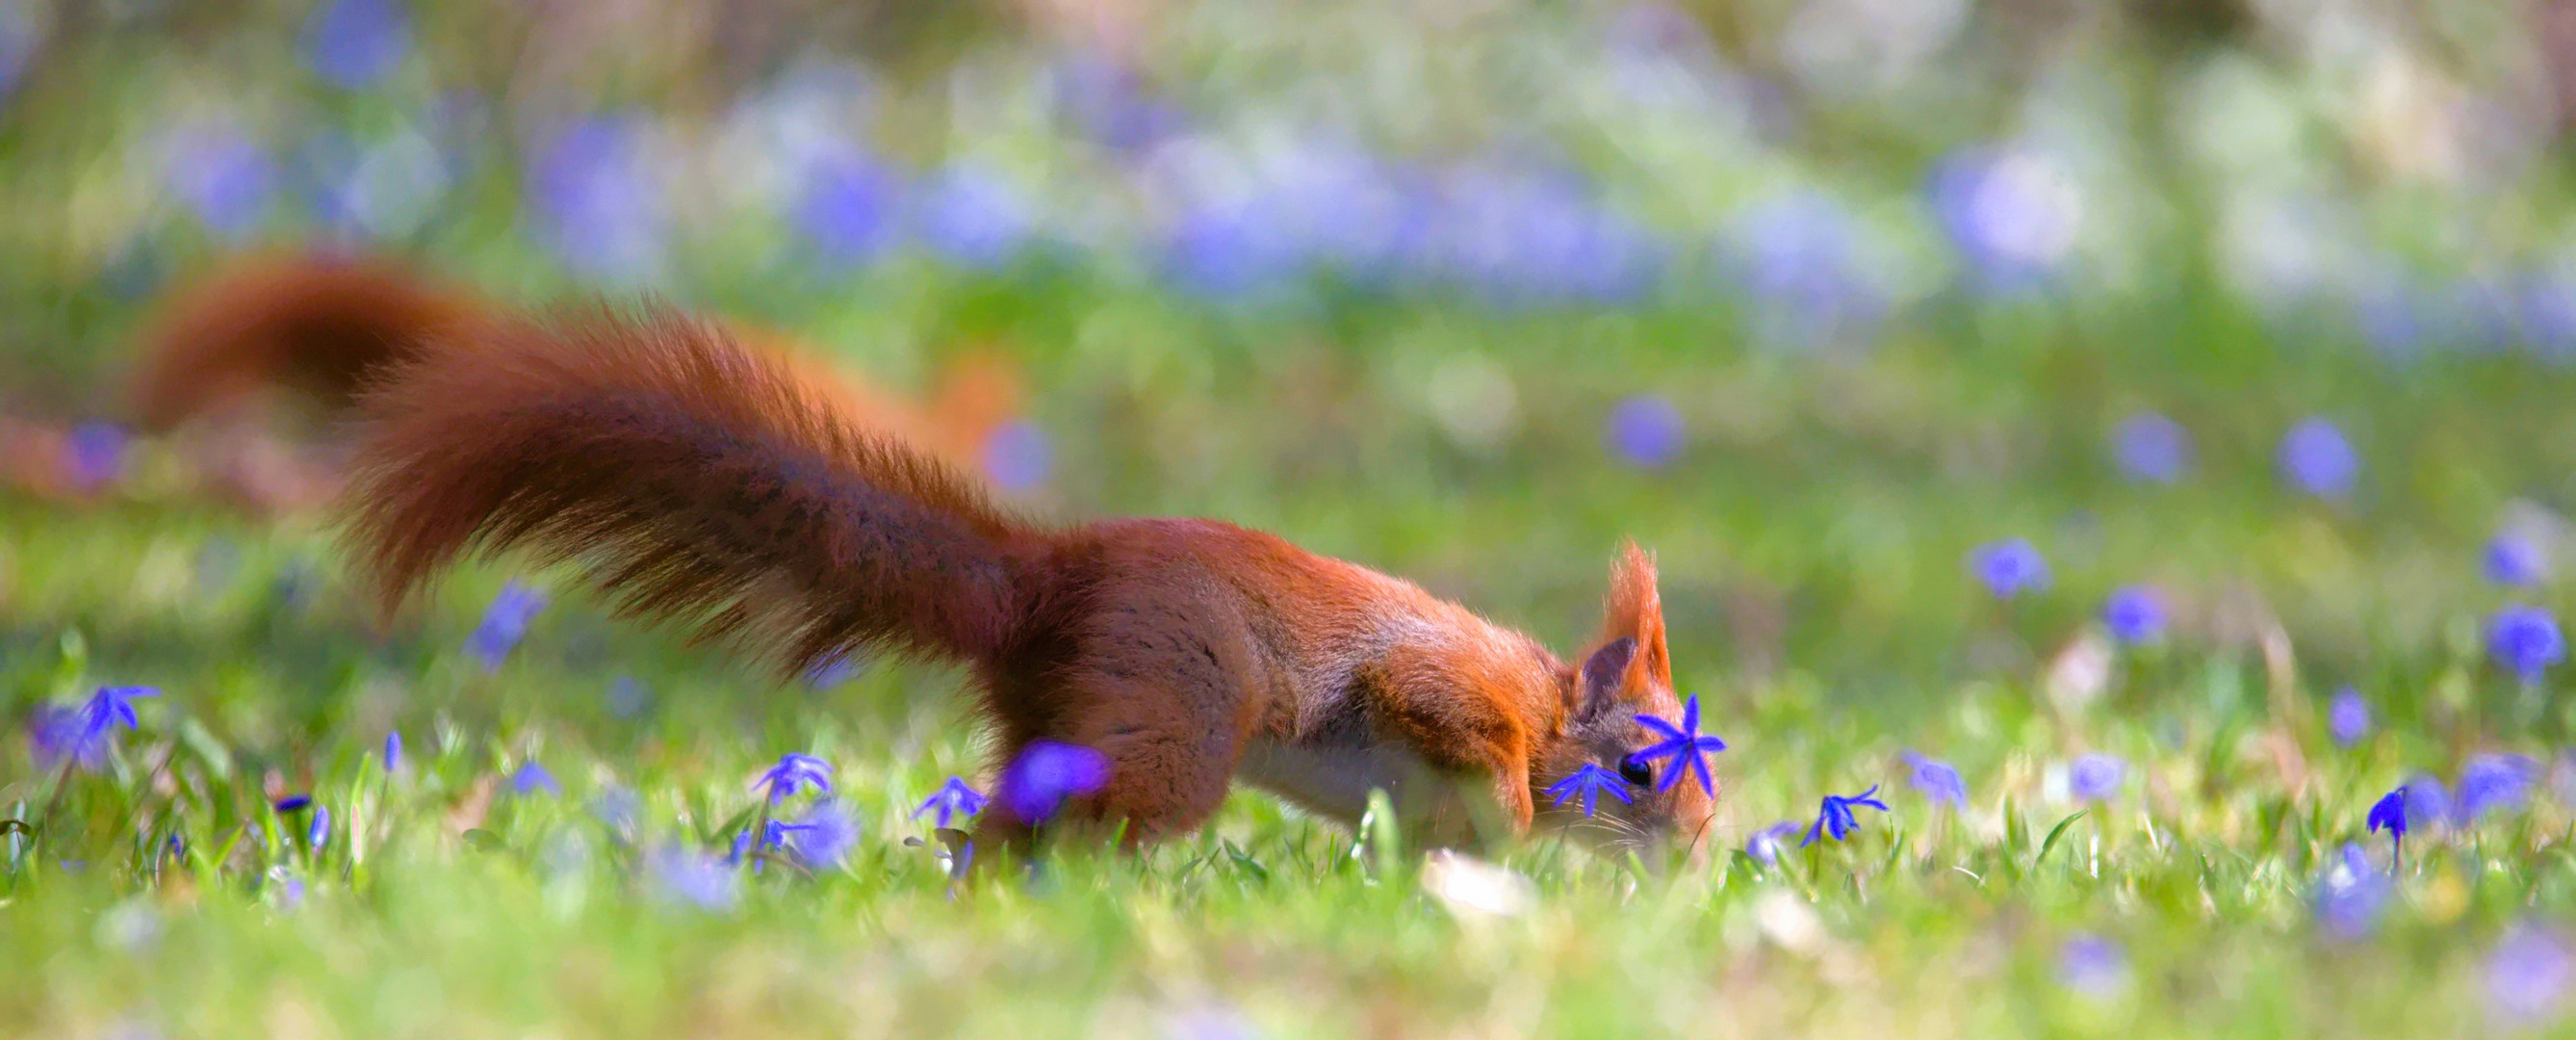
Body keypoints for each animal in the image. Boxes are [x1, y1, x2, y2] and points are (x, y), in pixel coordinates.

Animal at [332, 306, 1720, 854]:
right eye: (1645, 772)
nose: (1700, 856)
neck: (1546, 706)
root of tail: (1049, 578)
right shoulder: (1443, 686)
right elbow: (1448, 727)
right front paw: (1529, 817)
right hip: (1174, 719)